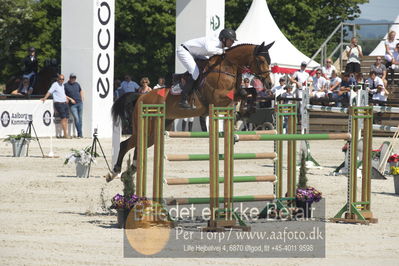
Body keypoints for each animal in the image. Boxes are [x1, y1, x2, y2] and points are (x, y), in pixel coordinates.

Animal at [106, 42, 276, 183]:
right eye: (261, 60)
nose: (269, 84)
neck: (227, 67)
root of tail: (141, 96)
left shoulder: (235, 93)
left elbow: (251, 92)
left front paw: (247, 111)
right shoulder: (218, 97)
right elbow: (241, 95)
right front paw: (243, 112)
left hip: (155, 132)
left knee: (138, 146)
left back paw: (131, 170)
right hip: (147, 126)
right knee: (125, 144)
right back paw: (114, 172)